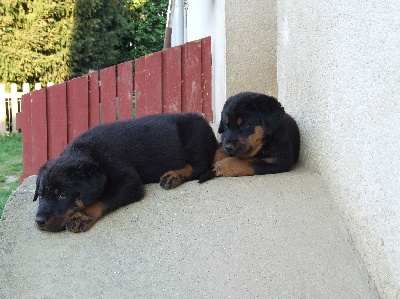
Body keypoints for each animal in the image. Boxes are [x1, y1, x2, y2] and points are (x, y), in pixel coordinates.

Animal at [32, 113, 217, 233]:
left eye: (62, 195)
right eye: (40, 195)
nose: (39, 221)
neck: (87, 152)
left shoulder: (129, 182)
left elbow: (103, 199)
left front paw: (83, 215)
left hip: (194, 133)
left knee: (198, 166)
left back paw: (174, 175)